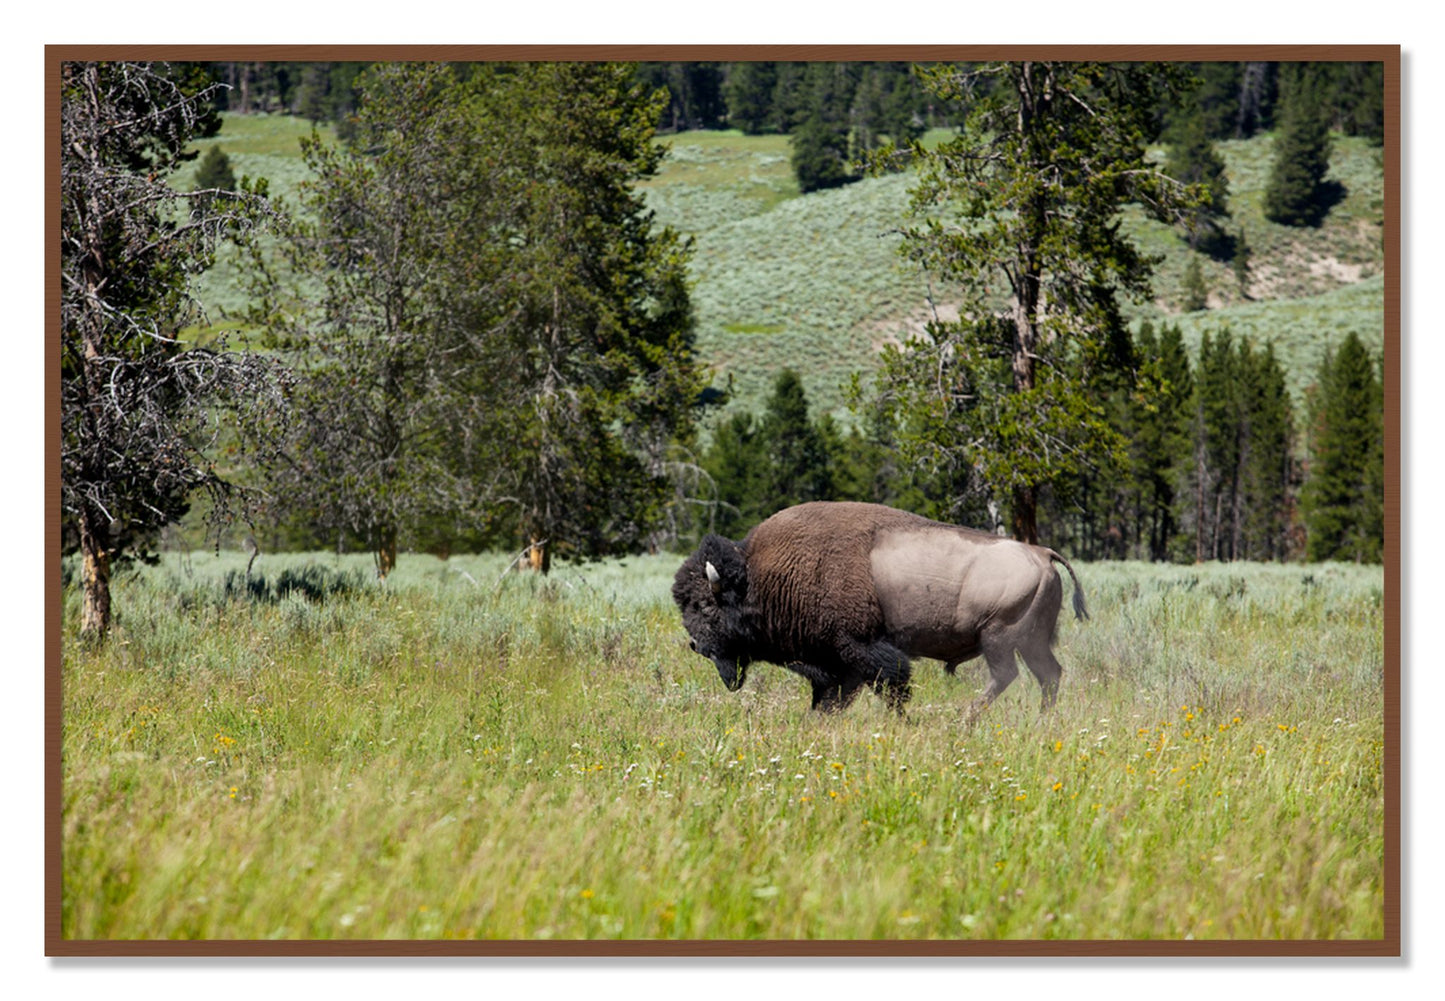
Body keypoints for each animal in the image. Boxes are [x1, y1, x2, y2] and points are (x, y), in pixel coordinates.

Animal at [672, 501, 1088, 722]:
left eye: (705, 606)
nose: (696, 645)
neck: (760, 576)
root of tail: (1042, 553)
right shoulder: (836, 664)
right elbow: (832, 697)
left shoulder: (861, 649)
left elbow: (891, 685)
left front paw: (902, 721)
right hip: (1031, 641)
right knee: (1048, 675)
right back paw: (1041, 720)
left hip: (999, 637)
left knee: (1006, 675)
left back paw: (965, 719)